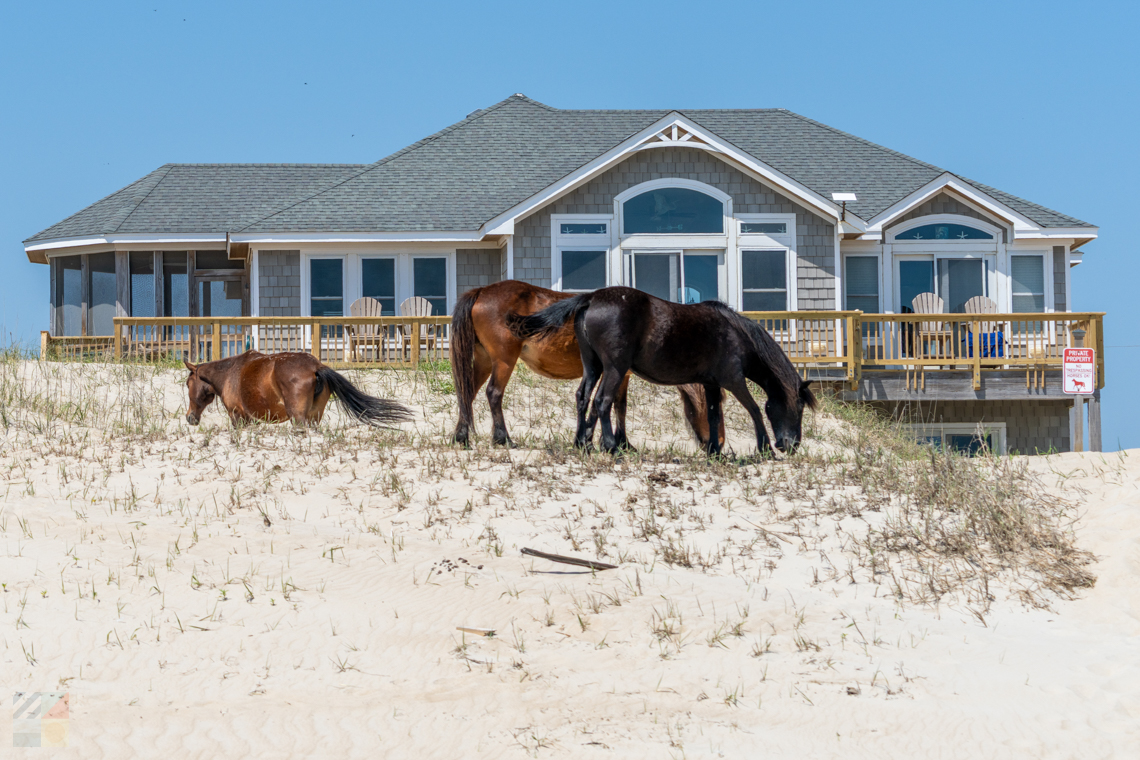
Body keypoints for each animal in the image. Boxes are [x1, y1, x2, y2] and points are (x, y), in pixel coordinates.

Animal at [183, 351, 412, 429]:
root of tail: (316, 367)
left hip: (299, 418)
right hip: (314, 417)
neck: (230, 372)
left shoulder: (238, 417)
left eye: (187, 384)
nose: (189, 418)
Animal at [450, 280, 723, 448]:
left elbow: (609, 404)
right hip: (503, 361)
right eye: (715, 409)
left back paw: (461, 436)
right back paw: (502, 438)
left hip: (484, 360)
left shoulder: (615, 373)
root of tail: (482, 291)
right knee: (493, 393)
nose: (719, 442)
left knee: (467, 393)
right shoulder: (618, 373)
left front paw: (597, 440)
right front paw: (613, 442)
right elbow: (614, 406)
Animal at [509, 286, 816, 456]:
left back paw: (581, 443)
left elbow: (714, 416)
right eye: (799, 407)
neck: (737, 335)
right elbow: (753, 409)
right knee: (602, 401)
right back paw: (610, 447)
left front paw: (715, 452)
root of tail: (591, 298)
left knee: (584, 398)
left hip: (594, 366)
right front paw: (764, 448)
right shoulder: (734, 380)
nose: (790, 445)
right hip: (615, 368)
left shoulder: (712, 384)